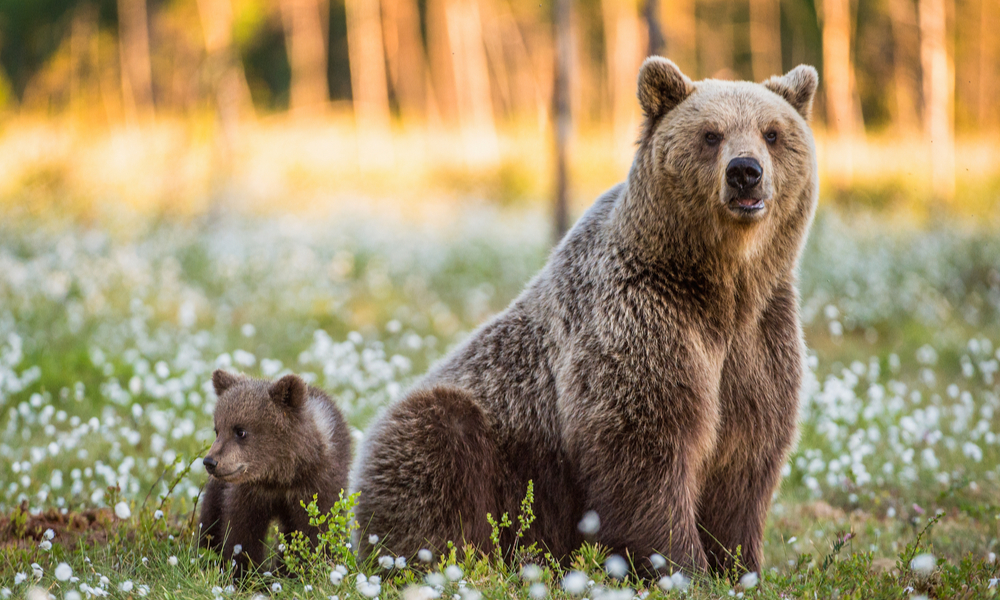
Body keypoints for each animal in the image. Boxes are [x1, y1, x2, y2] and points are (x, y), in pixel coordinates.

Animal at [356, 59, 816, 576]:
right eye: (710, 134)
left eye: (772, 132)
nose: (745, 172)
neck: (722, 287)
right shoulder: (642, 320)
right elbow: (645, 450)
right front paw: (682, 566)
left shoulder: (758, 342)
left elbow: (745, 462)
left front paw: (739, 567)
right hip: (485, 445)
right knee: (437, 440)